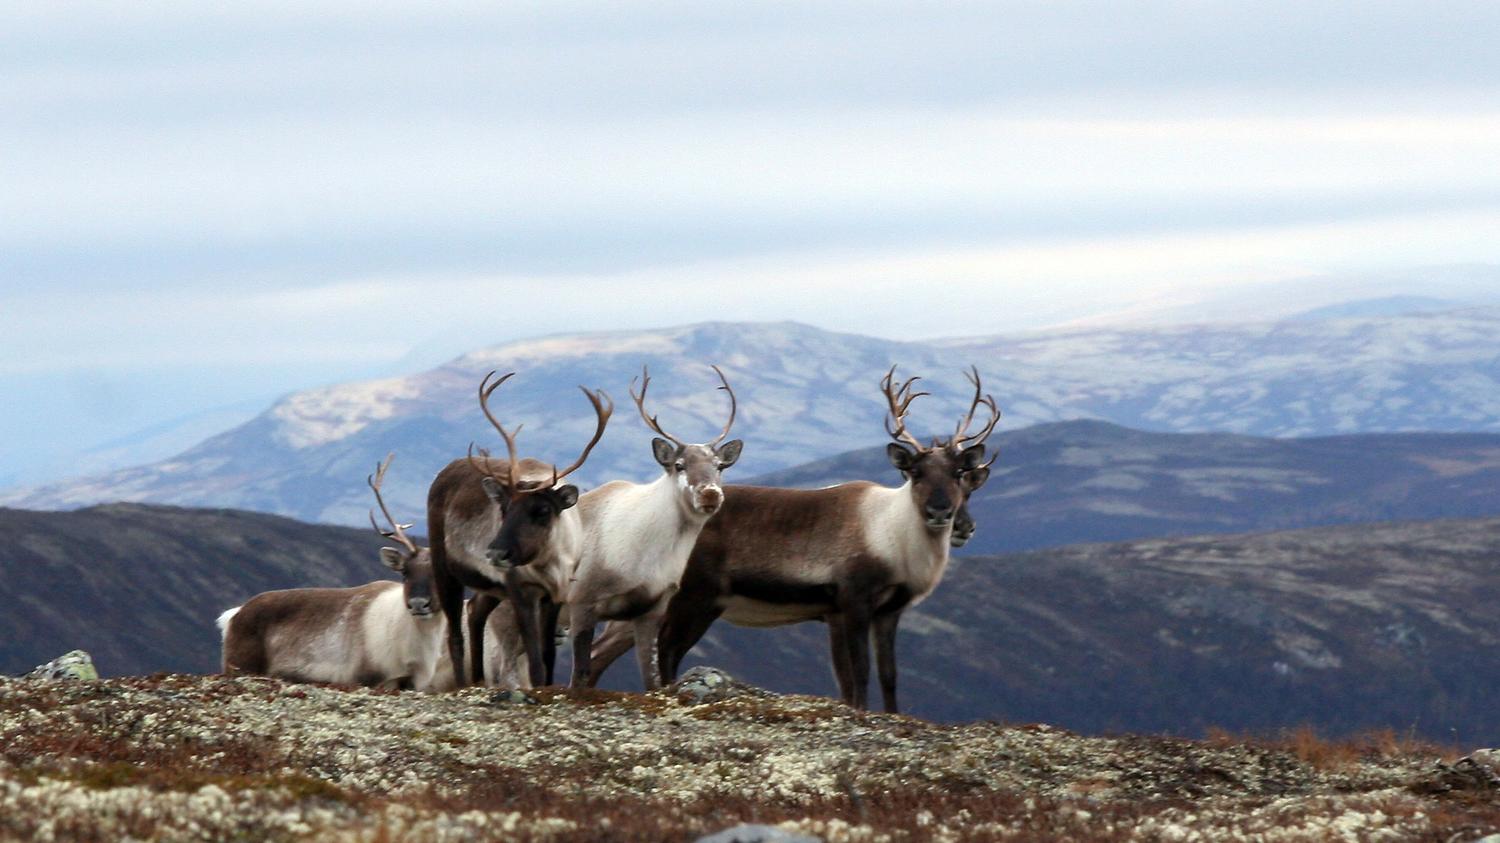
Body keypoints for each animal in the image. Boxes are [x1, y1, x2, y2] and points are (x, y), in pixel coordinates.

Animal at [216, 454, 455, 691]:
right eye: (404, 572)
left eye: (441, 573)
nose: (418, 603)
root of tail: (233, 615)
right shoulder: (367, 677)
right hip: (238, 664)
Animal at [426, 370, 612, 687]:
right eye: (504, 508)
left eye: (542, 511)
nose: (495, 552)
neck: (549, 564)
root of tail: (444, 471)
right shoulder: (520, 591)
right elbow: (534, 658)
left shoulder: (555, 594)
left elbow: (548, 653)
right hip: (444, 566)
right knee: (454, 634)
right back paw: (463, 684)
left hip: (490, 585)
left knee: (475, 611)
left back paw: (478, 679)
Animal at [587, 366, 999, 712]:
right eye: (916, 472)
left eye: (960, 473)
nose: (941, 512)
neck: (892, 538)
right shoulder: (853, 600)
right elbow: (860, 673)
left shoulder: (883, 611)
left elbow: (886, 676)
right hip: (695, 599)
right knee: (666, 649)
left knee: (611, 649)